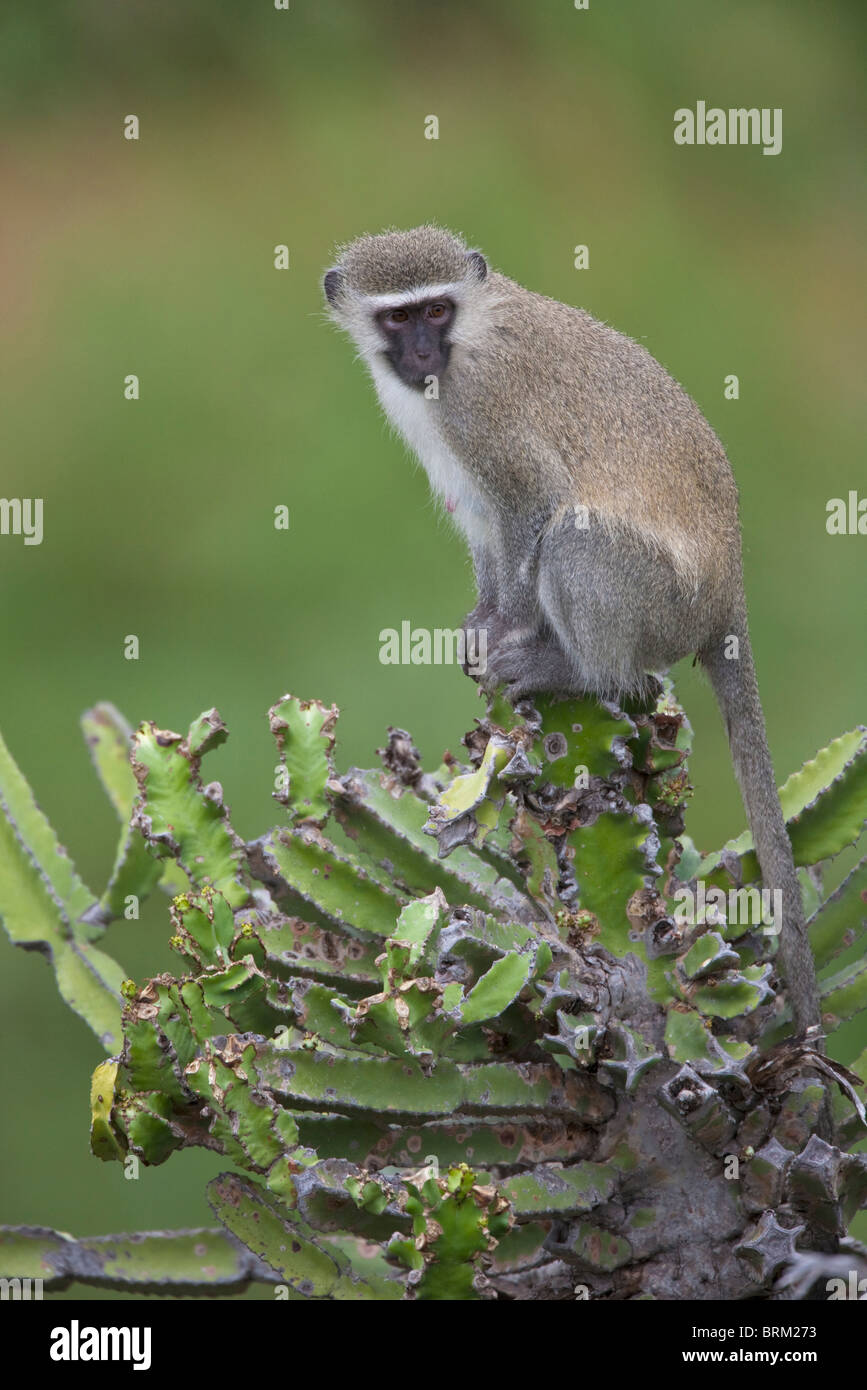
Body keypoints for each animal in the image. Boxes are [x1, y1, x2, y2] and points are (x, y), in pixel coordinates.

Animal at [323, 225, 816, 1034]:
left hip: (657, 601)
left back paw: (574, 670)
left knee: (578, 545)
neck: (467, 338)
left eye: (436, 310)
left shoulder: (479, 406)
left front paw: (512, 633)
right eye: (399, 317)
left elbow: (532, 505)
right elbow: (482, 519)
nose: (423, 353)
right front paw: (482, 622)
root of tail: (726, 597)